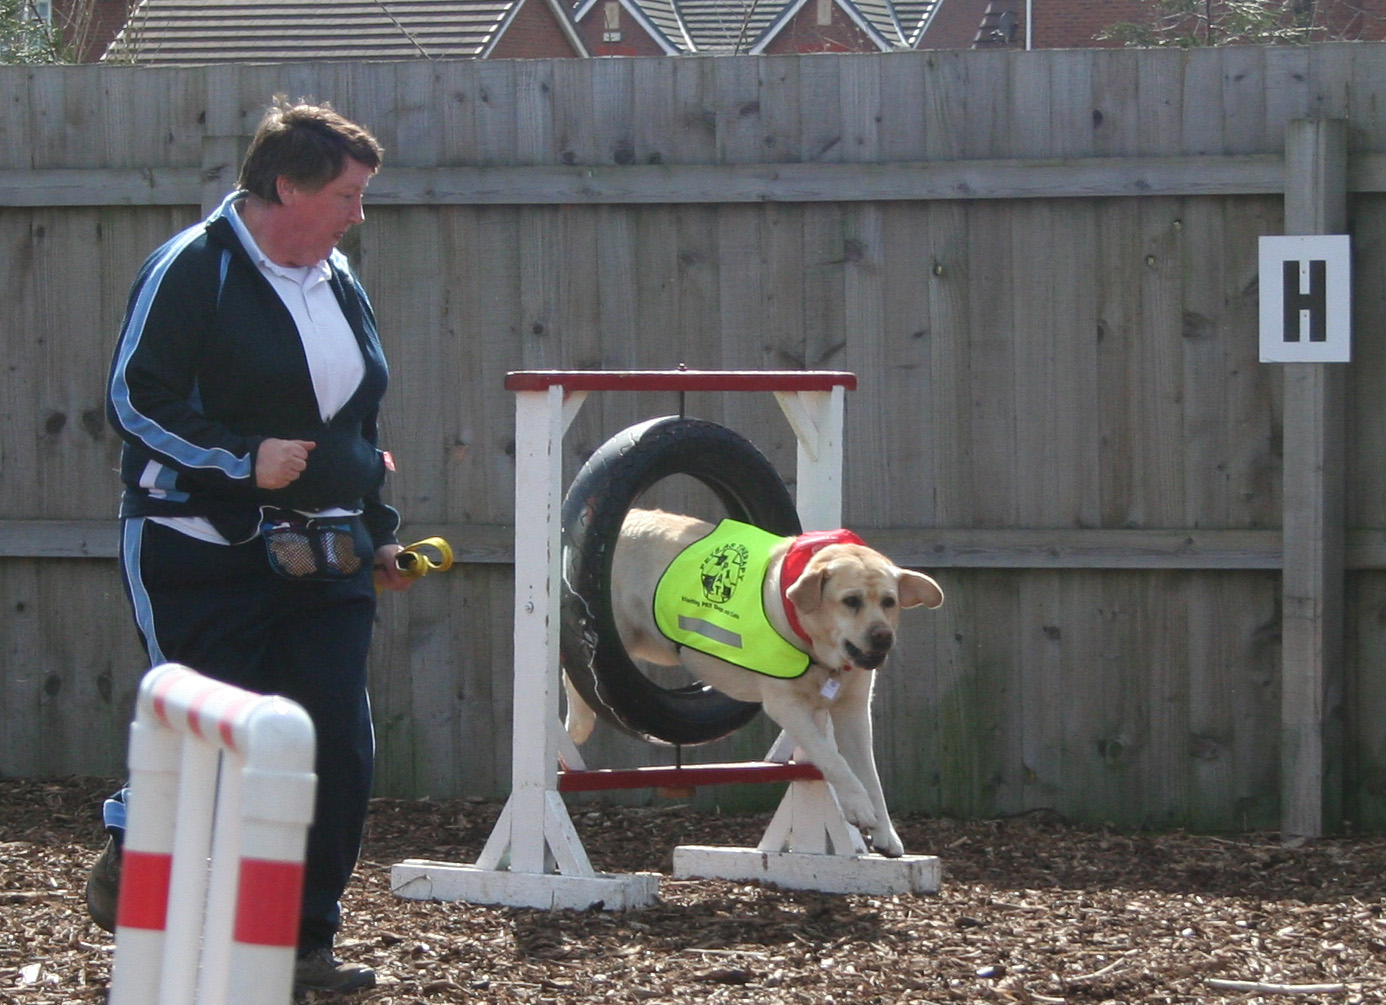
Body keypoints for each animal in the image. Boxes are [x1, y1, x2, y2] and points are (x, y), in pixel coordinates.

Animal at [562, 510, 942, 853]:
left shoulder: (853, 712)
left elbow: (870, 776)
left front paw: (885, 834)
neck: (815, 647)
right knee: (578, 666)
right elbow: (832, 759)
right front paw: (858, 806)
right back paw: (578, 723)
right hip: (614, 634)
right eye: (851, 601)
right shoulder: (787, 706)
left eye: (889, 602)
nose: (883, 637)